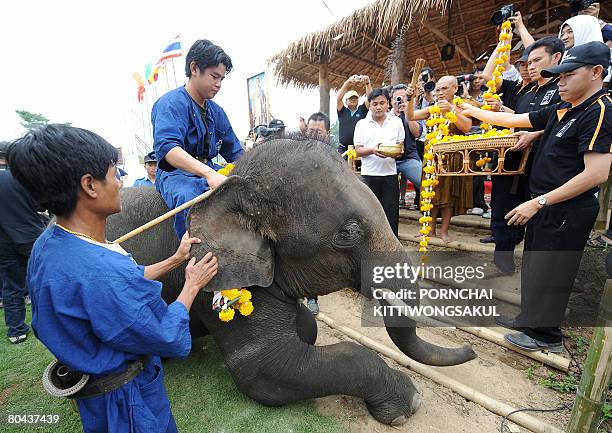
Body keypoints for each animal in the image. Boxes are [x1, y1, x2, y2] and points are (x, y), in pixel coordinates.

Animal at [107, 135, 476, 426]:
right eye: (349, 233)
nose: (470, 349)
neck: (233, 187)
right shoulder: (216, 275)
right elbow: (263, 367)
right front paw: (409, 401)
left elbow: (307, 329)